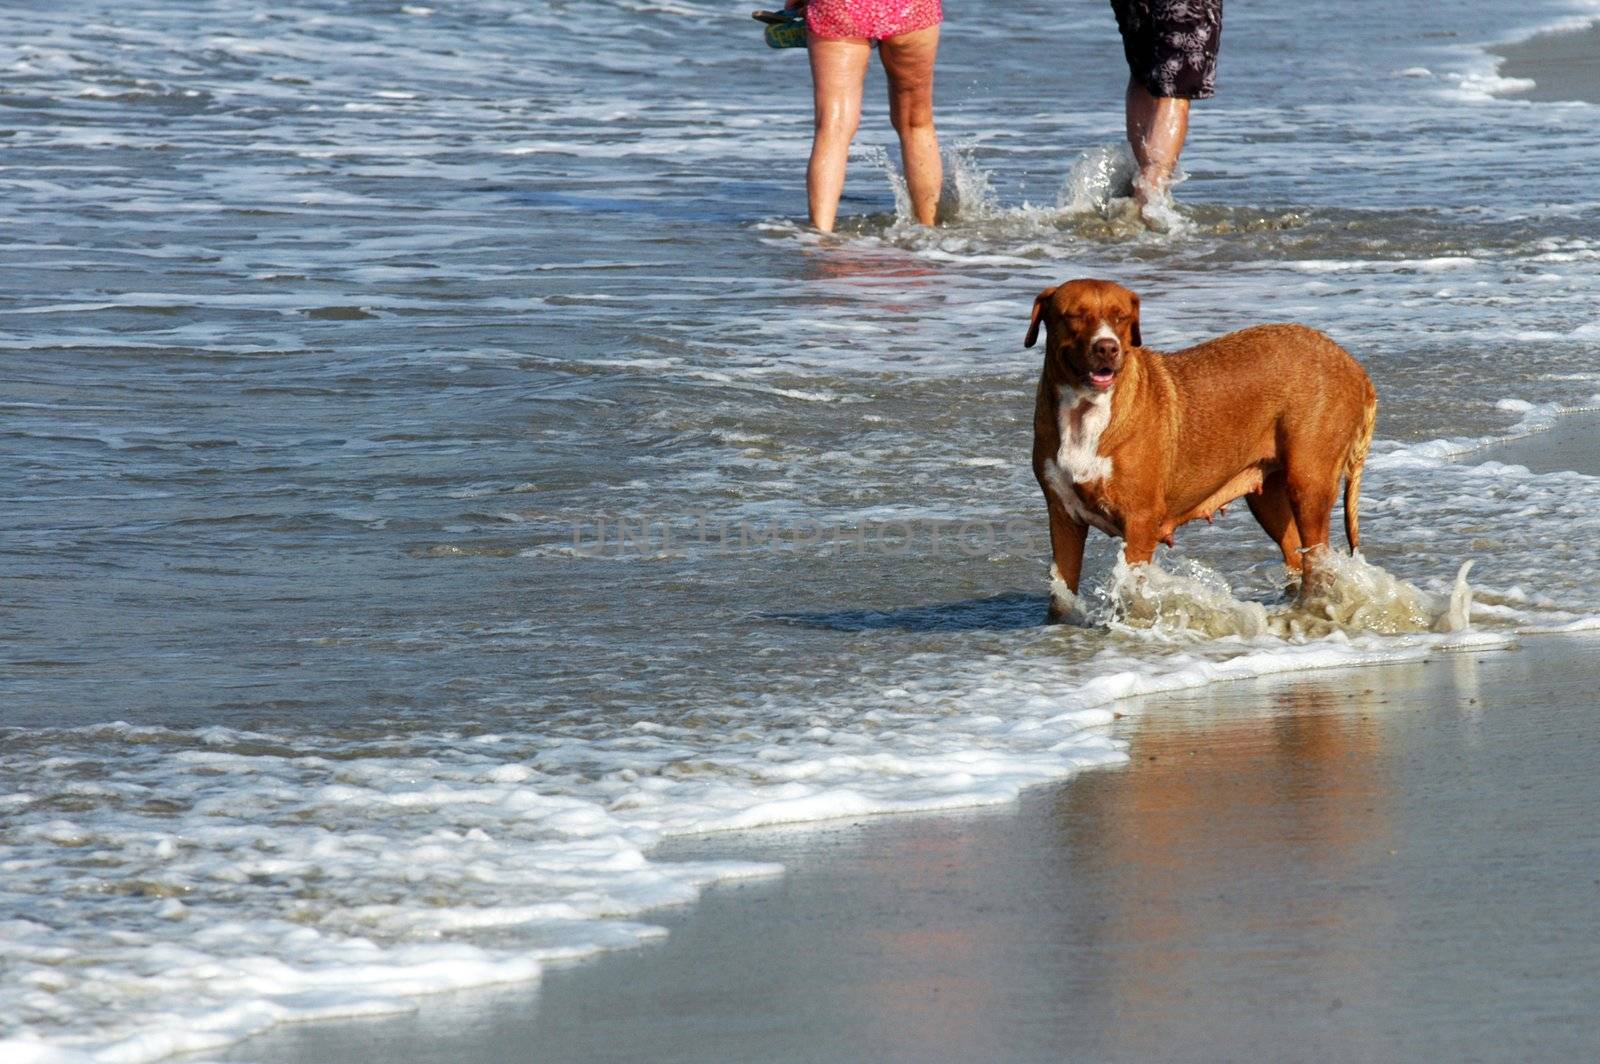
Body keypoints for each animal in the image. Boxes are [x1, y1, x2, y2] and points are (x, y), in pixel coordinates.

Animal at [1030, 278, 1382, 617]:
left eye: (1121, 317)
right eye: (1075, 315)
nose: (1106, 347)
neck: (1084, 412)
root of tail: (1352, 363)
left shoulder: (1140, 522)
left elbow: (1132, 591)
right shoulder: (1063, 519)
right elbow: (1061, 595)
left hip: (1309, 485)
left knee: (1318, 563)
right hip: (1270, 498)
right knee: (1296, 556)